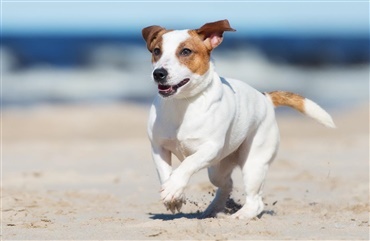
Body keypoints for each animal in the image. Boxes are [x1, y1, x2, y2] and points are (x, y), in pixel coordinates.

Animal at [142, 19, 336, 219]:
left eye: (185, 51)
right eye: (157, 51)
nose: (159, 73)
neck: (182, 104)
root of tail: (265, 98)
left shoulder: (210, 148)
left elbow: (188, 163)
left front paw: (173, 188)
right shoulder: (158, 147)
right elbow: (165, 172)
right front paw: (173, 195)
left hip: (253, 163)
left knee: (256, 201)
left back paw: (239, 216)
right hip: (217, 169)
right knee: (227, 184)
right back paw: (212, 210)